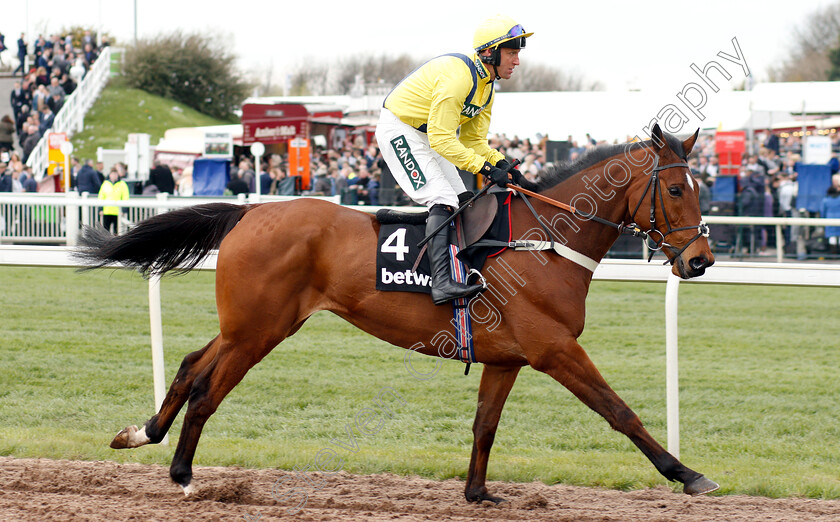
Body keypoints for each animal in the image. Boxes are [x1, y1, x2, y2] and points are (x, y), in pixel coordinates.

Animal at [77, 122, 716, 500]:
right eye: (675, 190)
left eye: (702, 188)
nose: (701, 261)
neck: (544, 240)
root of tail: (250, 210)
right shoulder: (555, 348)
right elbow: (621, 413)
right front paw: (687, 474)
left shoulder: (507, 358)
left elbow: (485, 424)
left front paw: (477, 493)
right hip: (259, 329)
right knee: (209, 390)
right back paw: (183, 475)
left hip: (250, 325)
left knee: (190, 364)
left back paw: (142, 433)